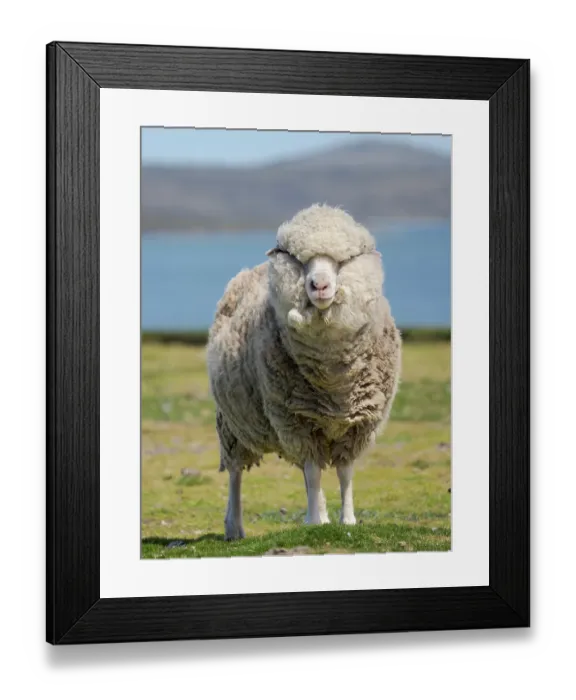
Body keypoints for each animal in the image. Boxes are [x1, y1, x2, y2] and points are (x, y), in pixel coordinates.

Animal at [206, 204, 402, 540]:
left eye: (344, 260)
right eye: (298, 260)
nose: (319, 286)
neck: (333, 379)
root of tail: (249, 271)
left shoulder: (355, 424)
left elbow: (344, 473)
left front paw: (346, 520)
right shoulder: (298, 421)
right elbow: (312, 473)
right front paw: (312, 521)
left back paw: (322, 513)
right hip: (232, 424)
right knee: (235, 473)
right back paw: (235, 527)